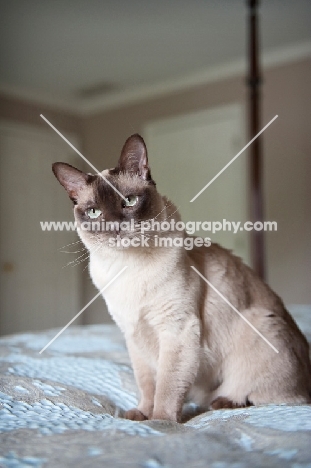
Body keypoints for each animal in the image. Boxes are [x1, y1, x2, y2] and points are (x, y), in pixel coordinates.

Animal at [52, 133, 310, 422]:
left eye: (129, 201)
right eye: (94, 212)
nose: (115, 228)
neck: (127, 267)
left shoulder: (176, 330)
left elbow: (166, 387)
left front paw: (161, 423)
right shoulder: (134, 336)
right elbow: (147, 384)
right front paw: (141, 415)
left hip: (262, 326)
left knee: (271, 397)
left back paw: (223, 402)